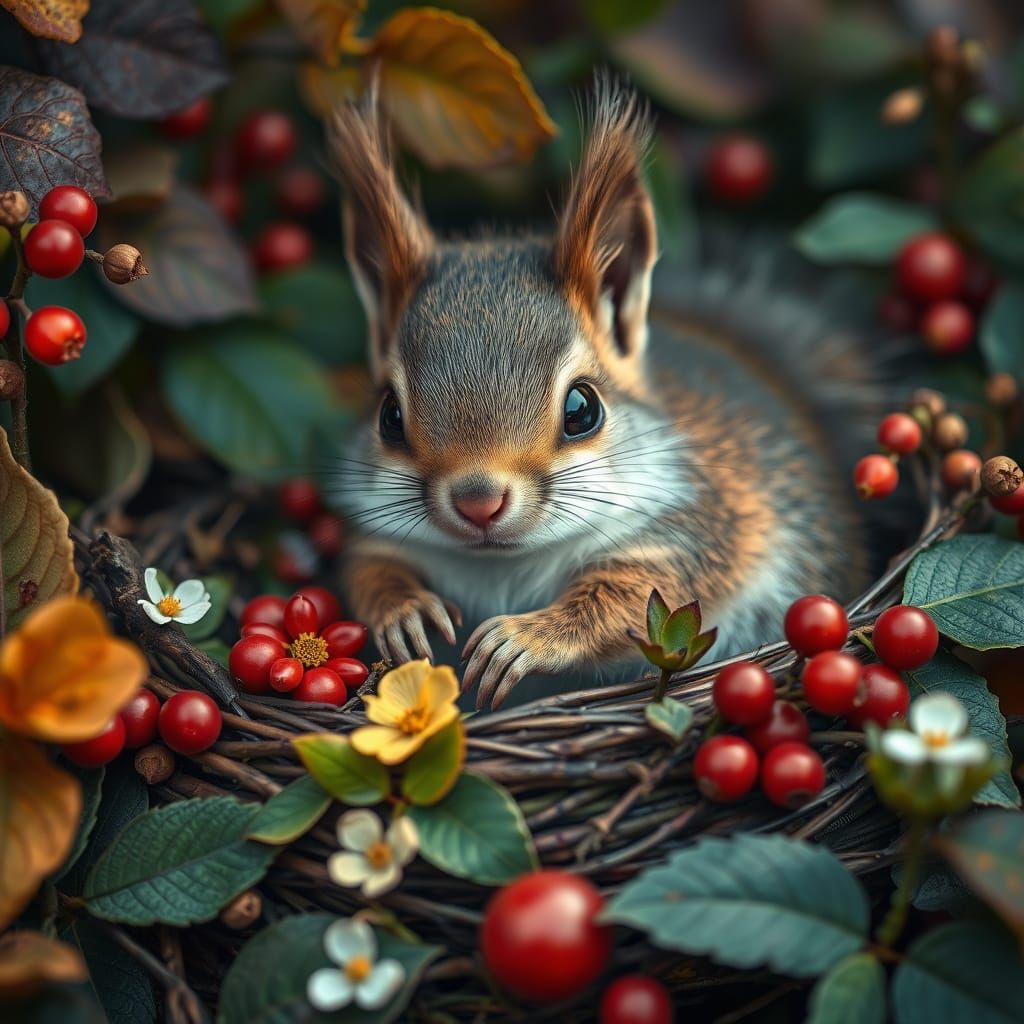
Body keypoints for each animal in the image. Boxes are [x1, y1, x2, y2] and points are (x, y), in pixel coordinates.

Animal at [326, 77, 880, 710]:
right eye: (389, 415)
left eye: (582, 408)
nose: (477, 502)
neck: (502, 567)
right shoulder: (381, 531)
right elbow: (365, 566)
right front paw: (402, 610)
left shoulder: (692, 530)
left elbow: (636, 597)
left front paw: (527, 637)